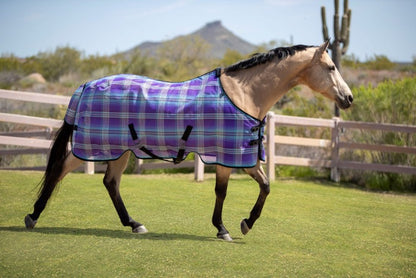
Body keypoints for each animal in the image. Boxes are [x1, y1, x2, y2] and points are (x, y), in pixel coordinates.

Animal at [25, 41, 352, 241]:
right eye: (331, 67)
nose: (348, 98)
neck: (243, 95)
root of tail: (85, 85)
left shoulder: (237, 156)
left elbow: (260, 186)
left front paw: (240, 225)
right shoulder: (231, 155)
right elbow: (231, 191)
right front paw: (230, 227)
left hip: (120, 150)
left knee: (110, 183)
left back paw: (134, 224)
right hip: (95, 146)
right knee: (61, 170)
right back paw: (32, 217)